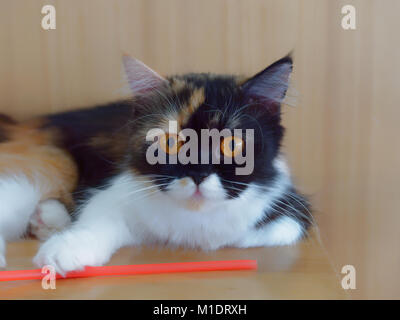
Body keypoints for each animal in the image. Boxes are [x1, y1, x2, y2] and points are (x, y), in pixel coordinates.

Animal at [0, 54, 312, 270]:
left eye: (231, 144)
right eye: (170, 143)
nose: (198, 173)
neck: (194, 215)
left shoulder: (291, 213)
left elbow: (247, 234)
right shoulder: (116, 194)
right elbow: (97, 221)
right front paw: (65, 250)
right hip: (51, 167)